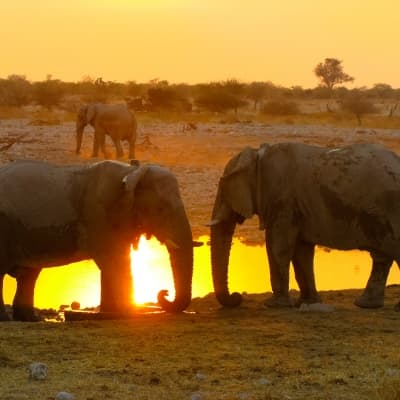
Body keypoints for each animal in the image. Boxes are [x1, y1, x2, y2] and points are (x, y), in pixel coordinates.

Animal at [0, 158, 194, 320]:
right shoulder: (99, 214)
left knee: (29, 274)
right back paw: (7, 319)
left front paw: (112, 313)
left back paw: (29, 319)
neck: (131, 171)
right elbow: (115, 260)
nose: (164, 292)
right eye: (161, 209)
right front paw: (131, 313)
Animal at [208, 143, 400, 310]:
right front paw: (308, 303)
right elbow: (302, 251)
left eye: (223, 188)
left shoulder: (282, 201)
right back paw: (366, 305)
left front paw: (274, 305)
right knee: (381, 258)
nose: (237, 296)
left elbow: (278, 246)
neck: (257, 156)